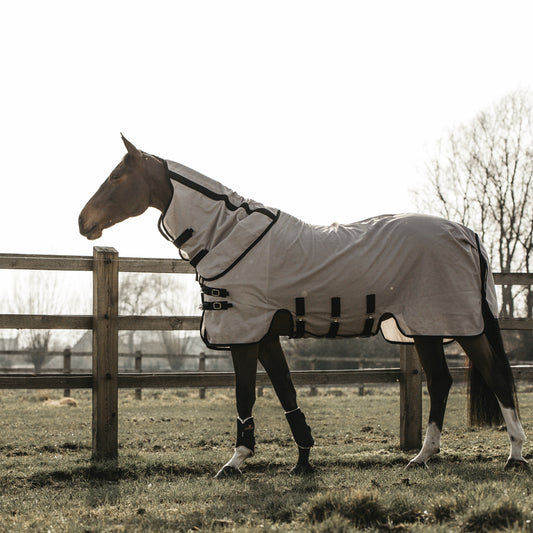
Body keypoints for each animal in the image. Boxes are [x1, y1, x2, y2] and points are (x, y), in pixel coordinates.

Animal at [77, 134, 524, 474]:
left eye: (117, 176)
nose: (84, 222)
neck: (227, 233)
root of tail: (467, 233)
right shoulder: (266, 337)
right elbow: (286, 391)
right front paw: (304, 459)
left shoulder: (243, 335)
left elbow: (245, 394)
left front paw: (236, 461)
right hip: (429, 329)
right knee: (451, 381)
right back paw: (427, 456)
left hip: (455, 325)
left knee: (494, 378)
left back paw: (512, 455)